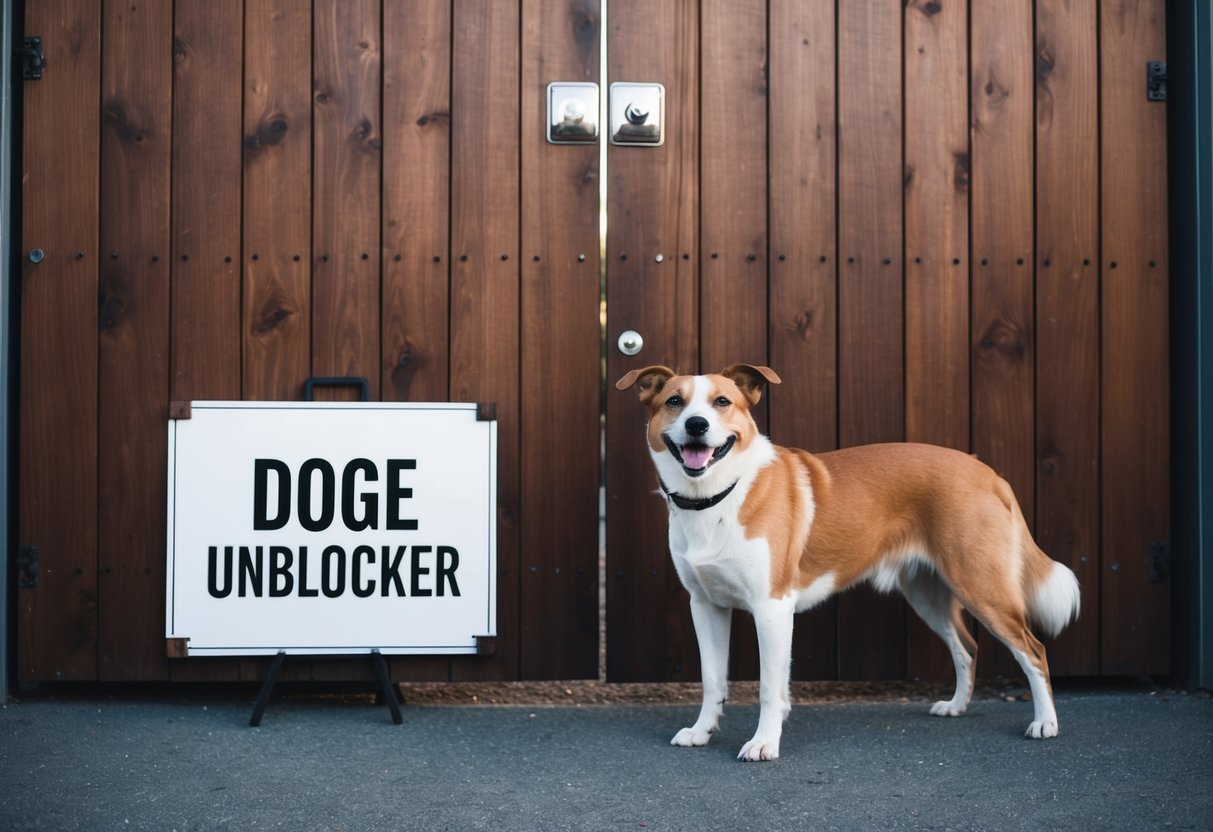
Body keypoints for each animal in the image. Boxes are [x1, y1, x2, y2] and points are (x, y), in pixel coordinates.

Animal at [616, 363, 1081, 761]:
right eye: (675, 401)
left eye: (722, 402)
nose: (697, 425)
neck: (717, 496)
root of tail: (988, 472)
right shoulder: (707, 605)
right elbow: (713, 679)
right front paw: (702, 731)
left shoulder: (772, 609)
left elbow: (769, 688)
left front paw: (764, 743)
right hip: (928, 593)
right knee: (967, 647)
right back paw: (956, 706)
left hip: (982, 586)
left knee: (1033, 650)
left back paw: (1045, 723)